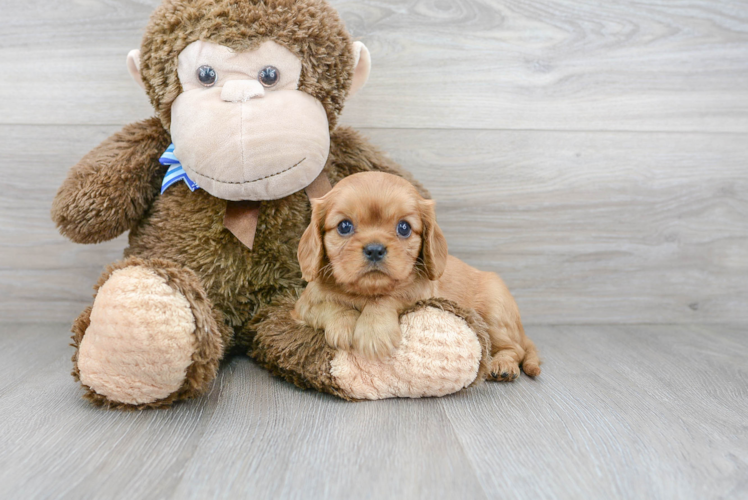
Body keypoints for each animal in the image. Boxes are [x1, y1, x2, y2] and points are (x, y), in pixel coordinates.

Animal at [294, 172, 544, 378]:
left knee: (516, 349)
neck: (366, 292)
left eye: (404, 228)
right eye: (344, 226)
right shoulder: (302, 307)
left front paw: (374, 332)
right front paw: (343, 325)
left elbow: (387, 298)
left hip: (493, 315)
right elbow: (328, 305)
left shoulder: (419, 293)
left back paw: (503, 366)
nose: (374, 249)